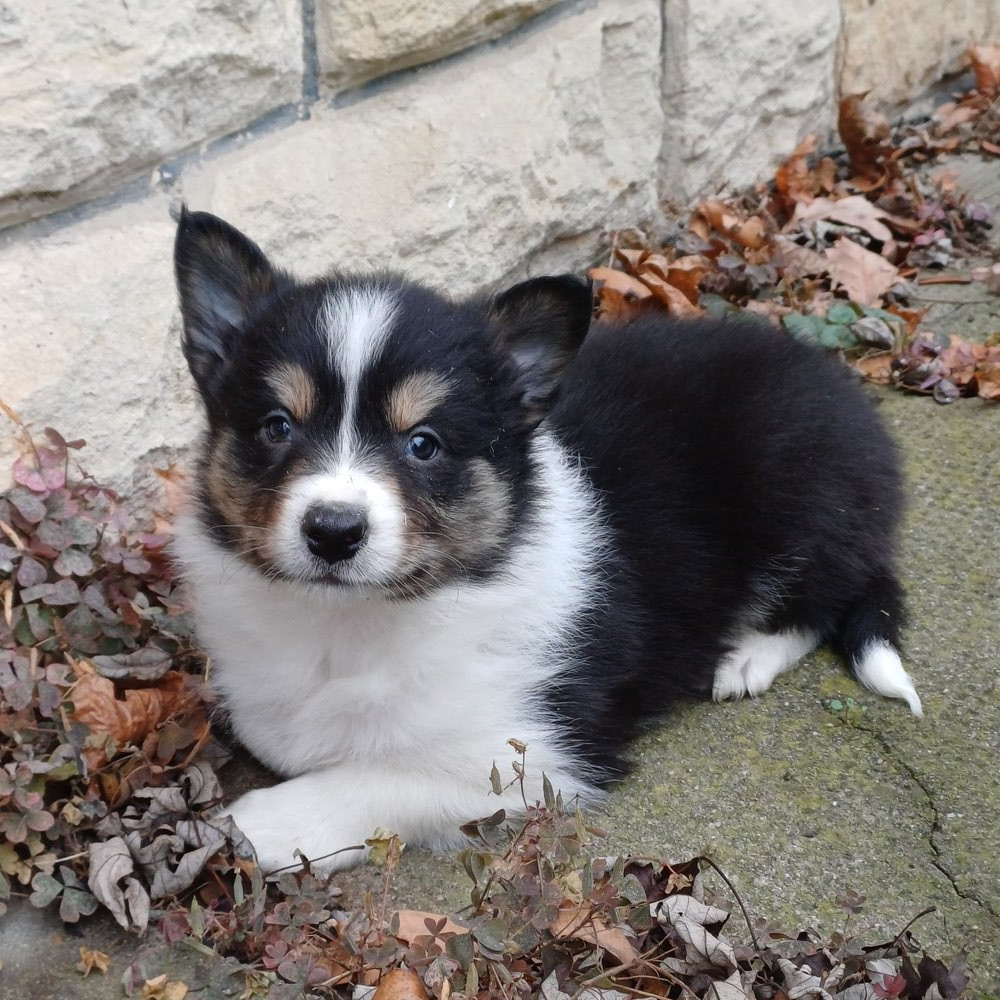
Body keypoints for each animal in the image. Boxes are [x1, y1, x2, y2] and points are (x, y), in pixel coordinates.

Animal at [172, 209, 922, 872]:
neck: (351, 620)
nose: (332, 532)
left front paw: (263, 824)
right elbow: (279, 725)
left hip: (800, 483)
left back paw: (746, 657)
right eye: (277, 426)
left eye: (424, 444)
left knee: (831, 592)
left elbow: (377, 776)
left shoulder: (530, 753)